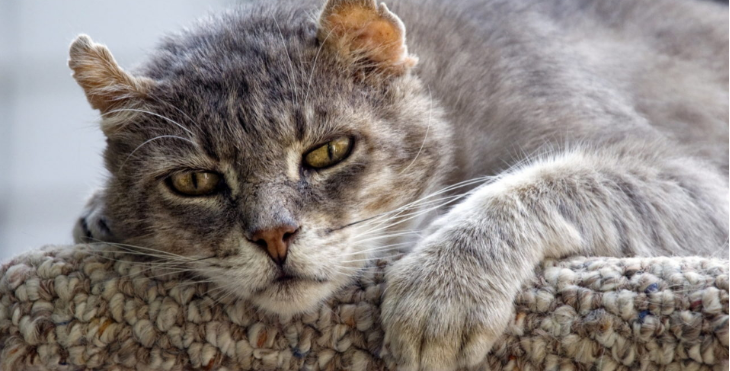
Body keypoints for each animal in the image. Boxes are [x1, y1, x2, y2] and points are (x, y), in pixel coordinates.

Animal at [67, 0, 724, 370]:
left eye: (328, 151)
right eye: (194, 180)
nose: (274, 236)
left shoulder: (685, 175)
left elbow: (544, 180)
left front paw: (443, 286)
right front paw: (97, 213)